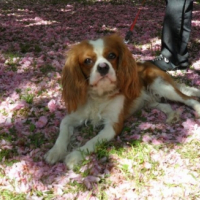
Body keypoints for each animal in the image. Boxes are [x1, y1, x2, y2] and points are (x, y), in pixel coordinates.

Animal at [44, 34, 200, 169]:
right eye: (87, 61)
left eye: (112, 56)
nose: (103, 67)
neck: (100, 95)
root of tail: (148, 64)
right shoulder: (74, 115)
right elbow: (63, 128)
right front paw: (55, 151)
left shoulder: (113, 126)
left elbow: (92, 141)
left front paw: (75, 155)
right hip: (149, 100)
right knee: (165, 104)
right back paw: (172, 115)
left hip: (160, 85)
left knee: (188, 99)